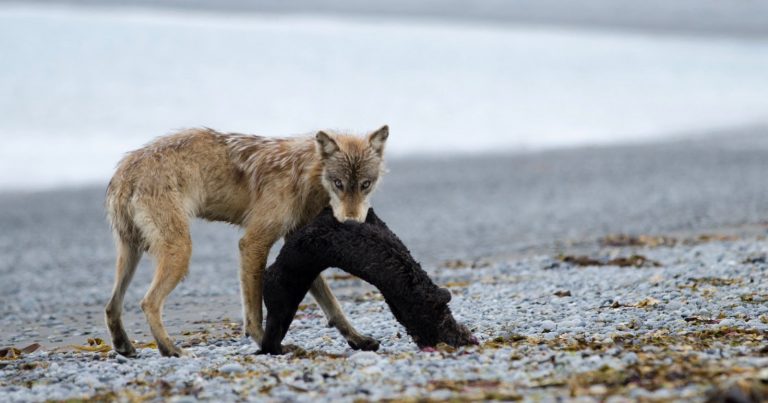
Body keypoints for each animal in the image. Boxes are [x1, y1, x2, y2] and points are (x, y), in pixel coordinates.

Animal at [104, 125, 388, 356]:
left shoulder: (301, 249)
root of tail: (126, 169)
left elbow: (334, 308)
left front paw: (357, 339)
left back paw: (124, 346)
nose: (351, 222)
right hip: (179, 252)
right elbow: (254, 313)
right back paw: (170, 349)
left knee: (111, 307)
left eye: (365, 185)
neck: (303, 173)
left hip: (131, 254)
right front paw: (267, 345)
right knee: (148, 303)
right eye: (338, 183)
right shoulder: (253, 243)